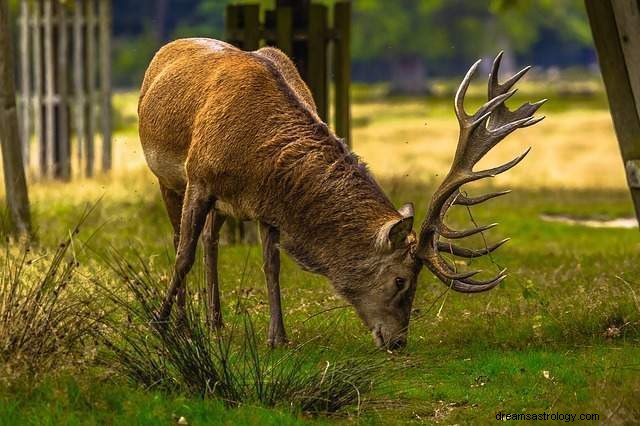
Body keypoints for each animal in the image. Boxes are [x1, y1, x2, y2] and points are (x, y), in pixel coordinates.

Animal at [139, 37, 544, 350]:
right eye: (401, 280)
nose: (399, 342)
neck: (255, 153)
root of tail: (165, 50)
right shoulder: (200, 179)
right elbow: (183, 255)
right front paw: (160, 323)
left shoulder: (265, 204)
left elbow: (271, 266)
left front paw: (277, 338)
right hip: (167, 178)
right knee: (181, 239)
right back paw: (184, 322)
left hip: (223, 205)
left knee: (211, 239)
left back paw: (216, 322)